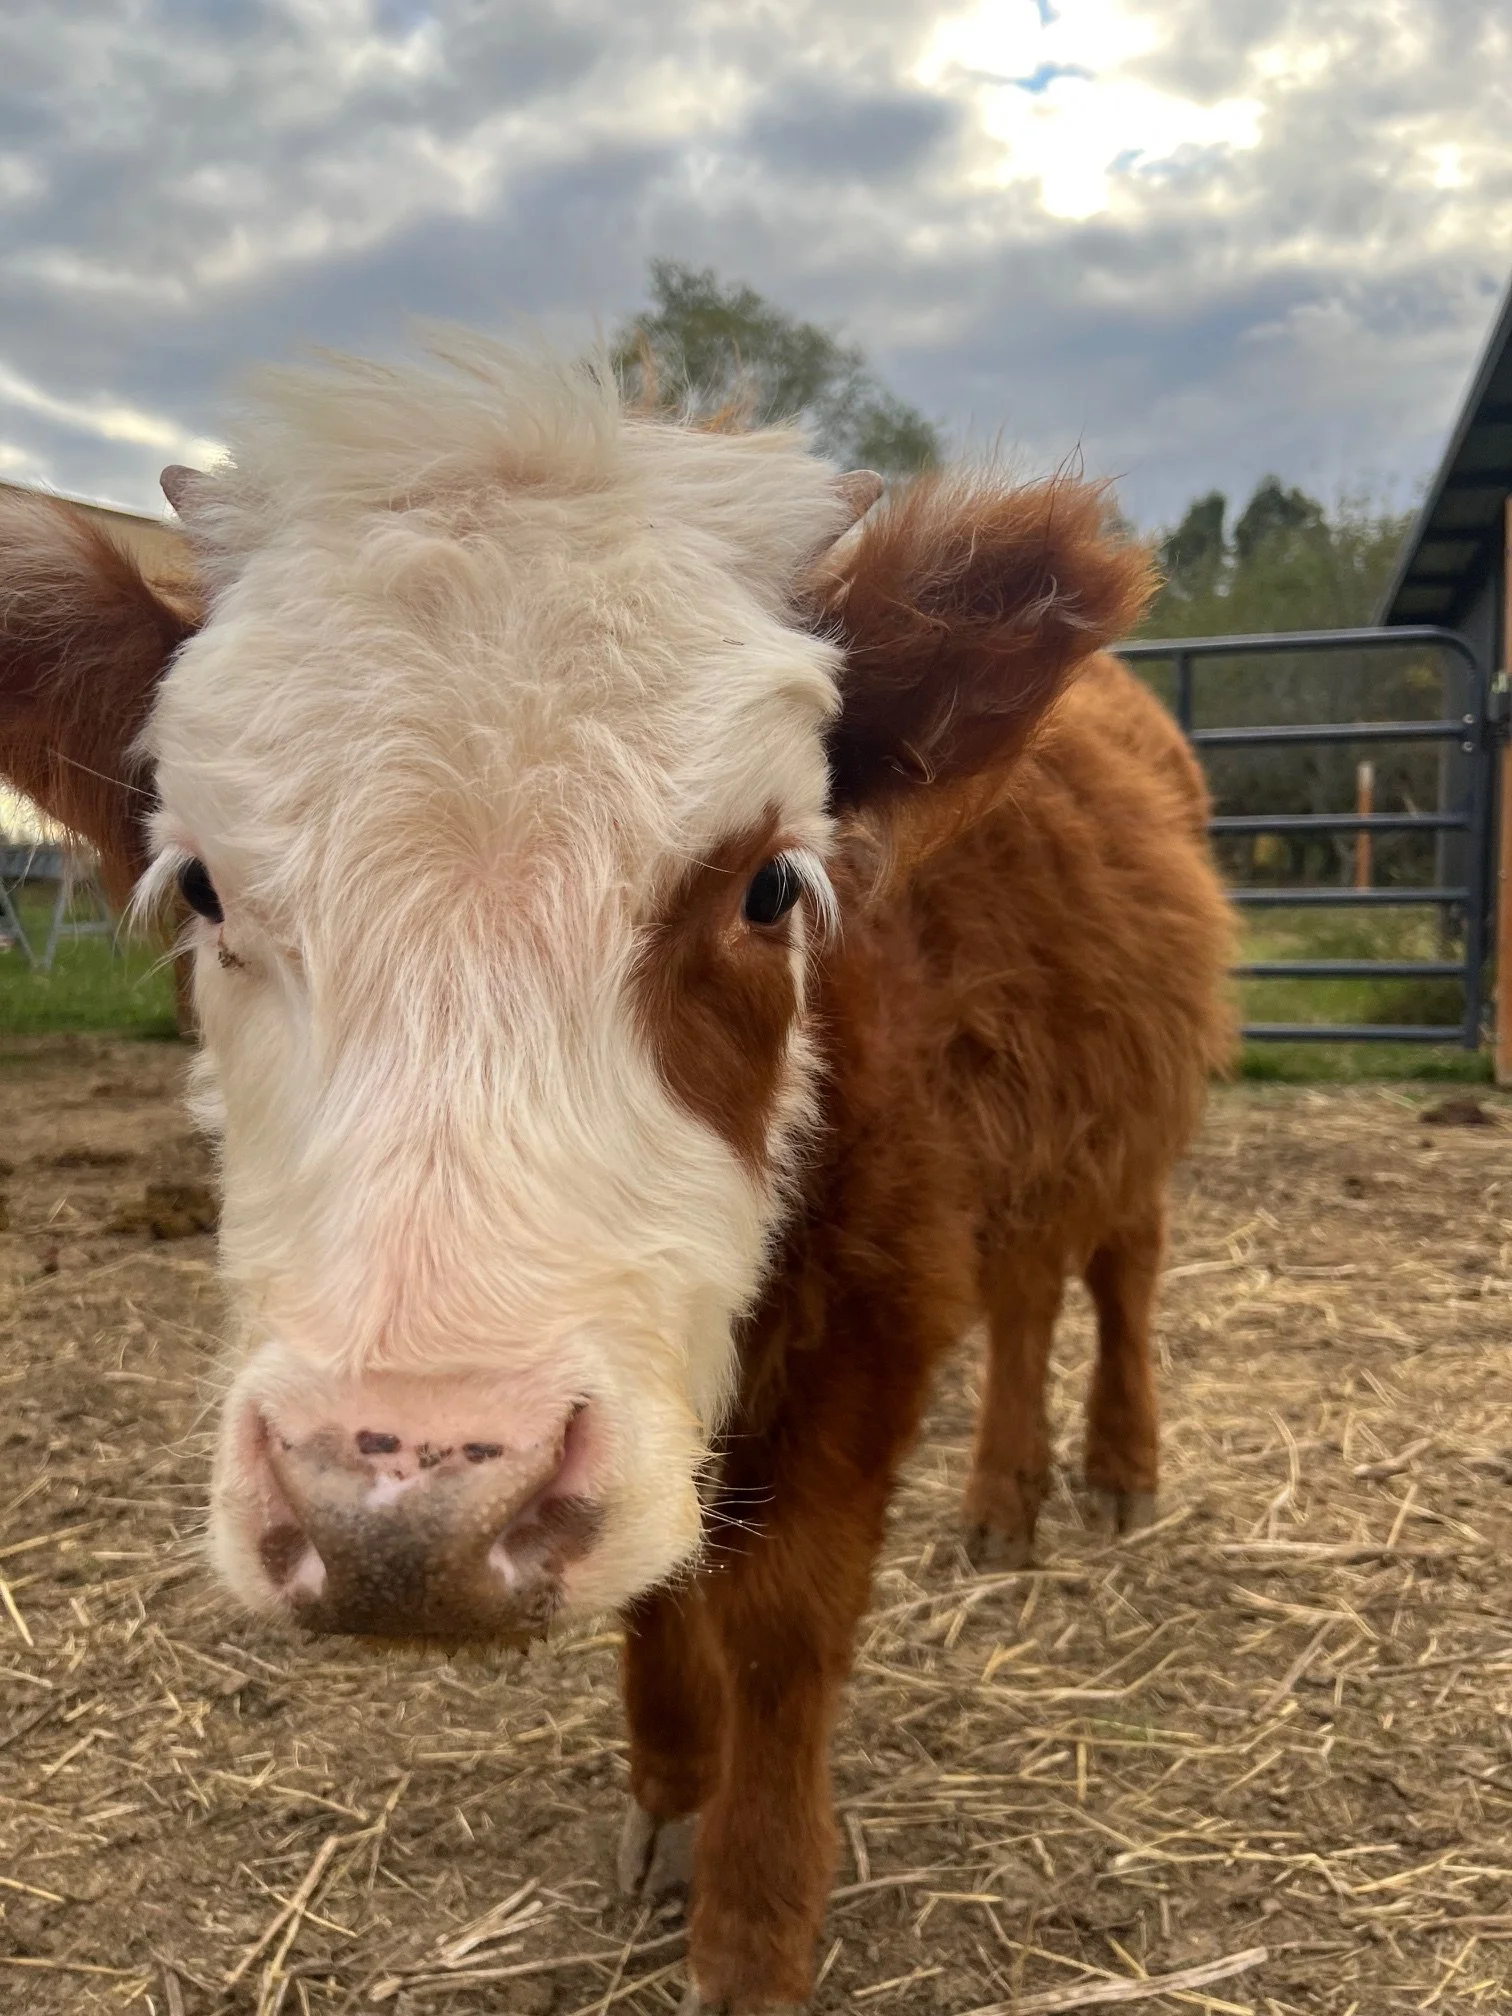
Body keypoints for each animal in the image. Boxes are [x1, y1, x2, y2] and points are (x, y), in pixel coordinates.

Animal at [0, 335, 1234, 2013]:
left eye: (771, 884)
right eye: (198, 884)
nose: (400, 1520)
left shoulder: (870, 1315)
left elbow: (784, 1624)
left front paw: (756, 1925)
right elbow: (660, 1592)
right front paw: (667, 1796)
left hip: (1129, 1119)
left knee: (1115, 1264)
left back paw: (1110, 1467)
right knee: (1035, 1285)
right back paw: (1002, 1499)